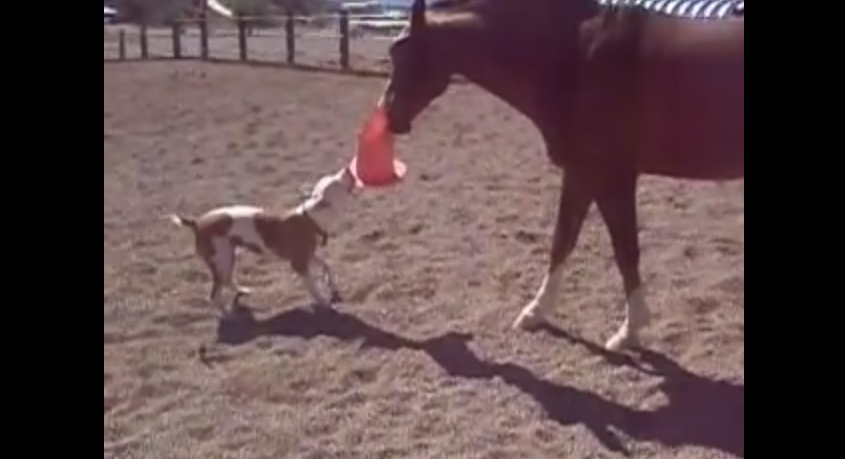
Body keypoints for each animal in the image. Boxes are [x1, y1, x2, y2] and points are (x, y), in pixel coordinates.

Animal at [170, 167, 358, 314]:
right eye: (336, 180)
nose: (348, 169)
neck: (310, 218)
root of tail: (196, 223)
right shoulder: (299, 263)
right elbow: (313, 287)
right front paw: (324, 303)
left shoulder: (308, 255)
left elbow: (327, 266)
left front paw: (332, 286)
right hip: (221, 260)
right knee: (214, 294)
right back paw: (228, 316)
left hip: (228, 257)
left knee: (228, 281)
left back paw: (242, 290)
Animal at [380, 0, 740, 352]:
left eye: (407, 53)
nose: (389, 116)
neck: (576, 56)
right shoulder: (581, 173)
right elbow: (562, 241)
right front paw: (536, 313)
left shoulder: (611, 176)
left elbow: (625, 250)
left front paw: (629, 331)